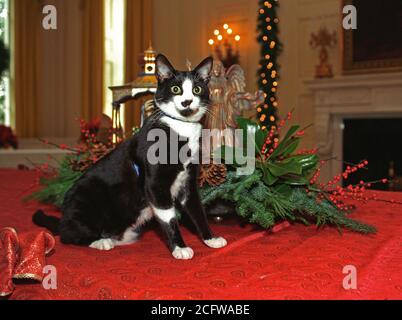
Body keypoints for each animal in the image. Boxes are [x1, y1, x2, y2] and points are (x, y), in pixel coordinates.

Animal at [33, 55, 228, 260]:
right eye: (176, 89)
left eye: (197, 89)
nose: (187, 102)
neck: (181, 128)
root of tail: (63, 218)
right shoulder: (155, 184)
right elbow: (169, 218)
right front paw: (179, 248)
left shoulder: (188, 181)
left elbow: (197, 211)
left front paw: (211, 238)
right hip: (85, 196)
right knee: (69, 234)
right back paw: (101, 241)